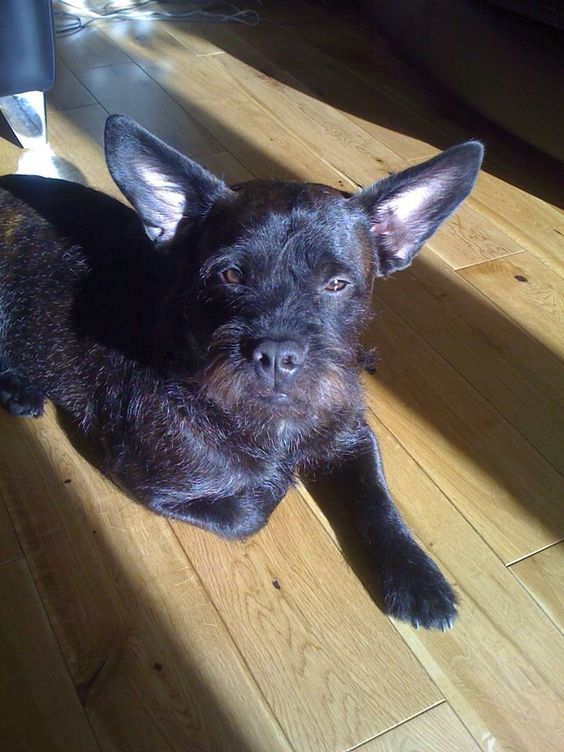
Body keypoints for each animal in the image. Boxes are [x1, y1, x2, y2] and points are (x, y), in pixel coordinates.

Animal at [0, 116, 482, 628]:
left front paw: (417, 575)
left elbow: (376, 496)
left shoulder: (352, 434)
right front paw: (277, 481)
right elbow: (253, 510)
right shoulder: (140, 472)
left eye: (337, 284)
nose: (276, 353)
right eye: (229, 275)